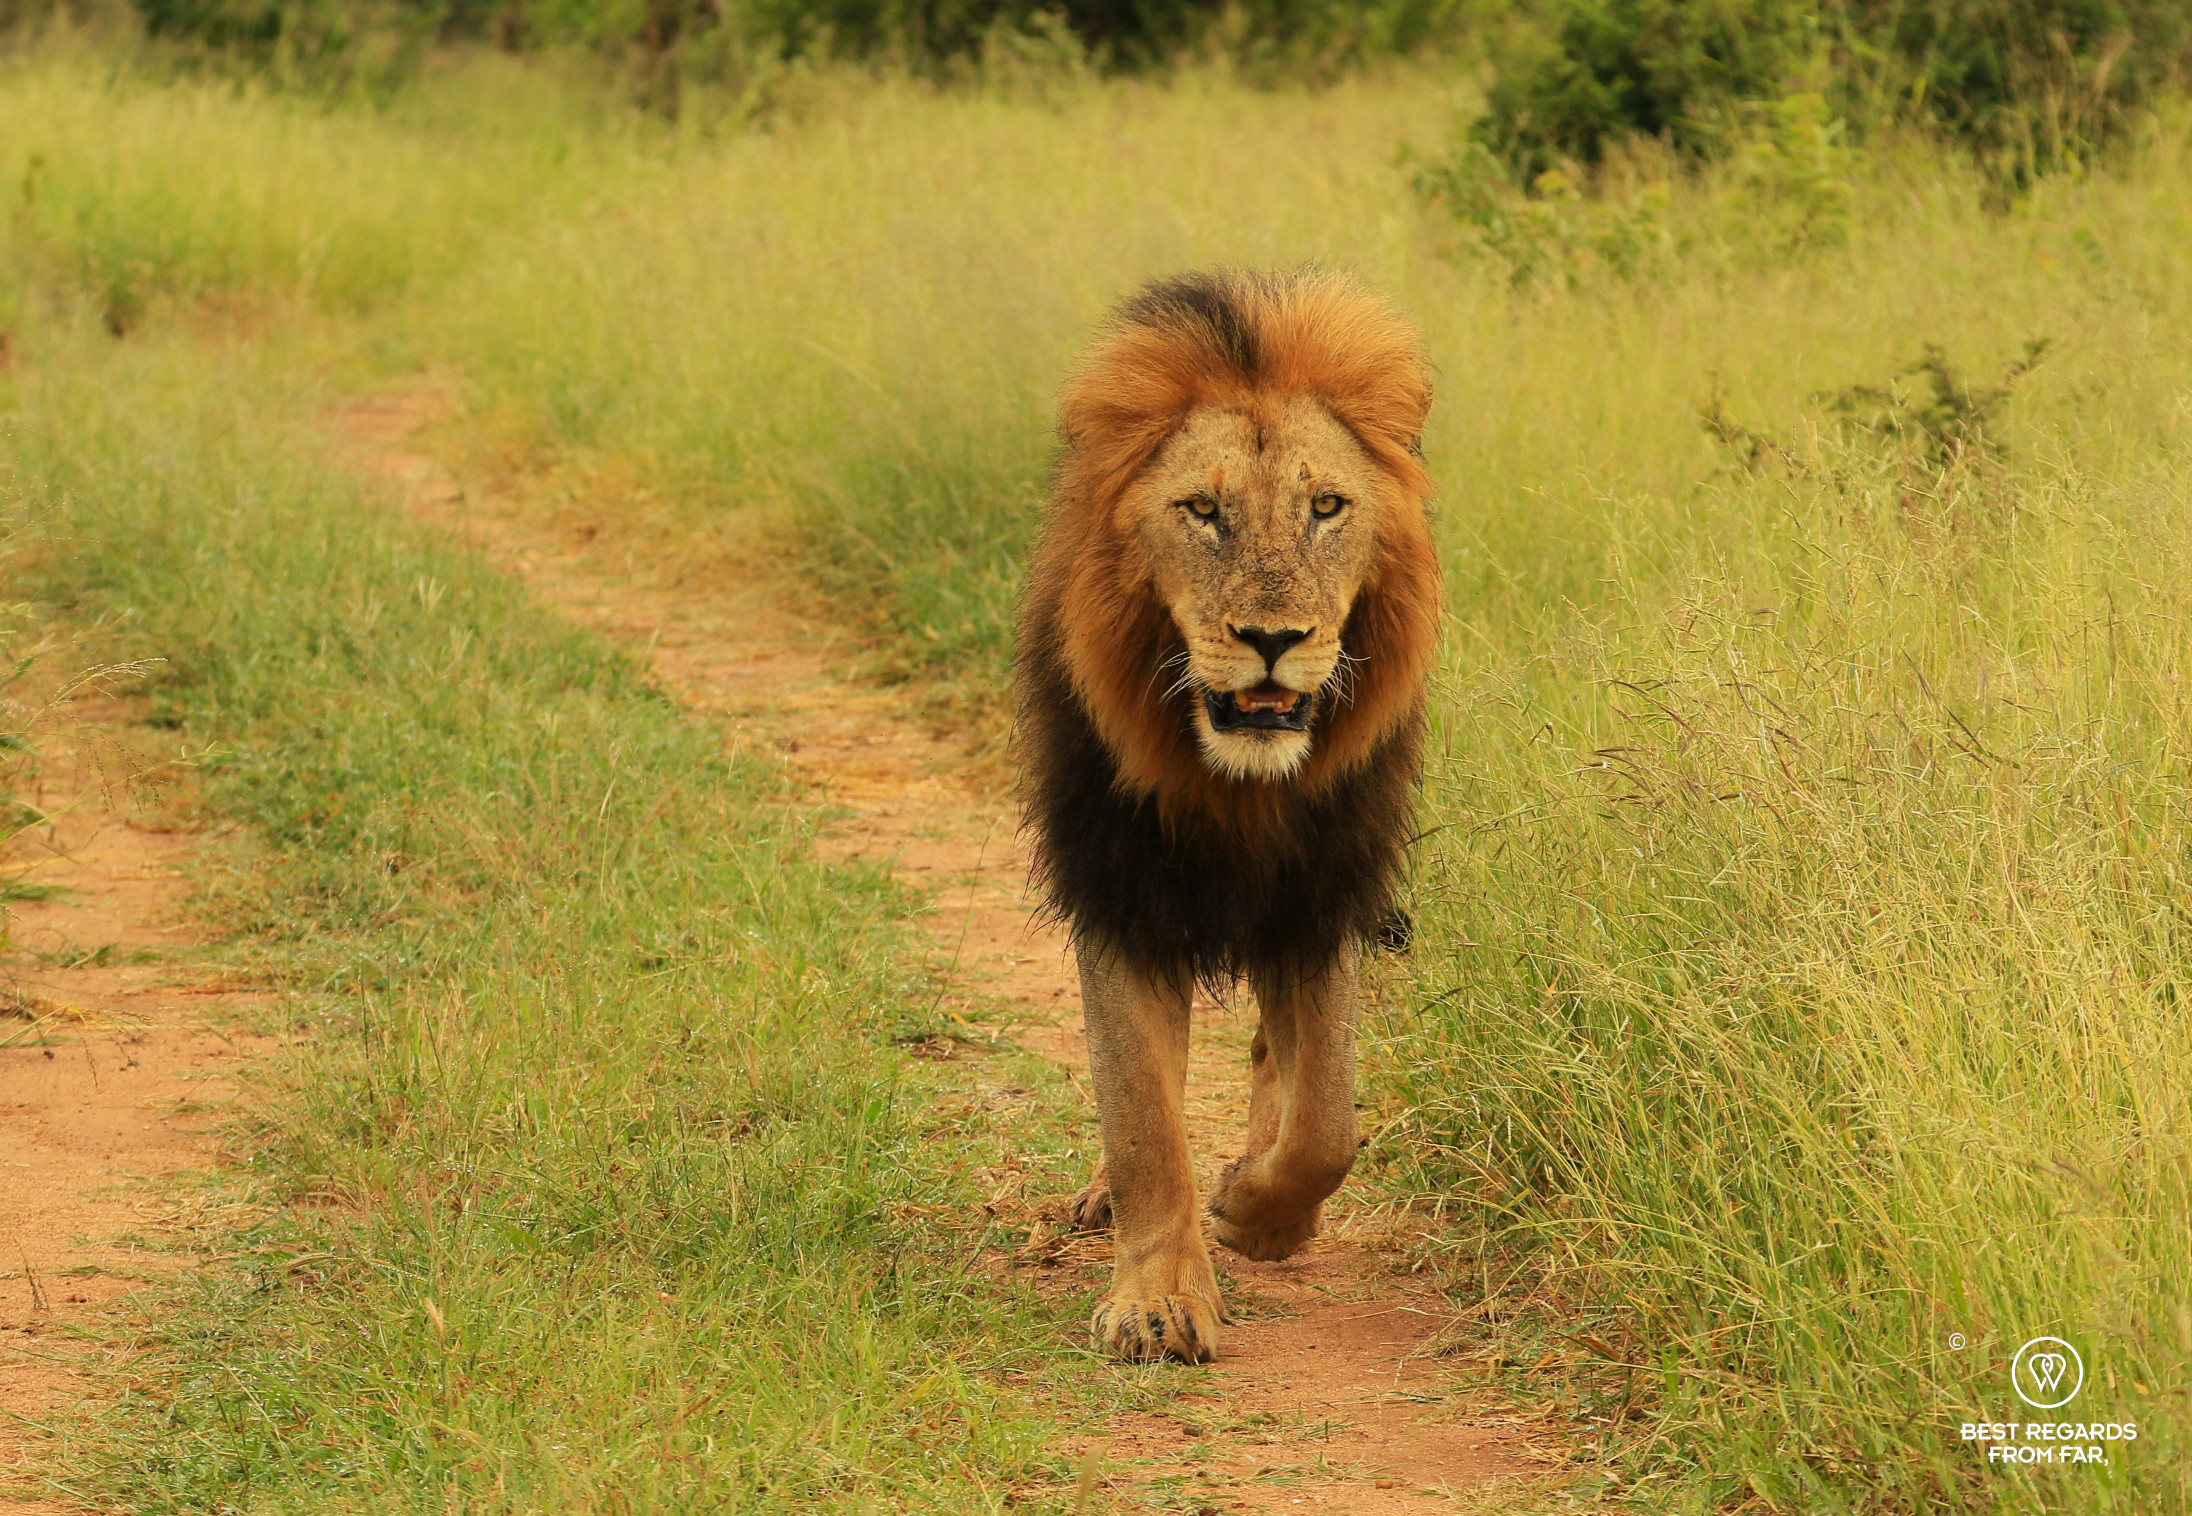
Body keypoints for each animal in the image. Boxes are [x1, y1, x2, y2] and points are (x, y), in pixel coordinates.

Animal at [1015, 268, 1439, 1364]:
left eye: (1325, 506)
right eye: (1201, 510)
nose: (1271, 638)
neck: (1237, 788)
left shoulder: (1321, 897)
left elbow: (1327, 1119)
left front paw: (1257, 1214)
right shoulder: (1120, 891)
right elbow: (1142, 1120)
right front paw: (1159, 1300)